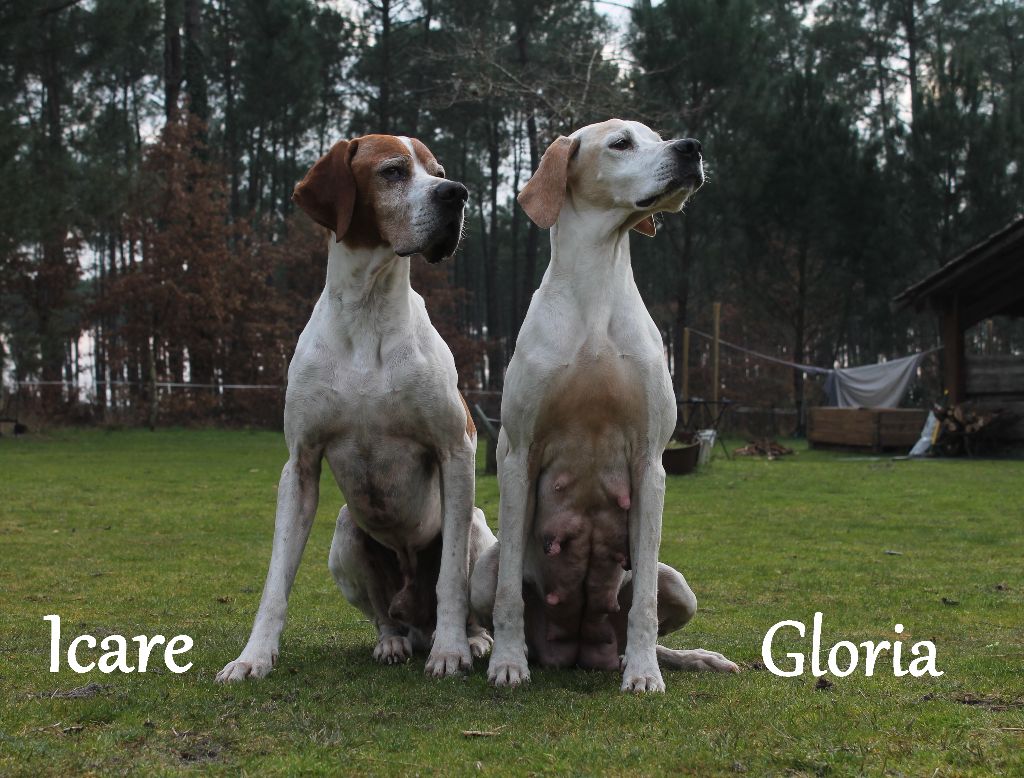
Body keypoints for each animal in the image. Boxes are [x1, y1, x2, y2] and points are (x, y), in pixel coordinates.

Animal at [218, 137, 497, 683]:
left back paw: (468, 640)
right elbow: (275, 582)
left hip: (477, 524)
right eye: (392, 171)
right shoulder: (300, 465)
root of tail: (416, 619)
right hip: (345, 535)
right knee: (384, 614)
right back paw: (391, 642)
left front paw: (451, 651)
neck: (368, 312)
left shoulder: (456, 451)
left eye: (438, 172)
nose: (456, 194)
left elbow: (451, 576)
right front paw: (252, 657)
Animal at [475, 118, 741, 687]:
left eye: (658, 136)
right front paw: (507, 662)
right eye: (621, 143)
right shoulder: (518, 456)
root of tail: (578, 650)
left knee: (651, 611)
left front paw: (643, 675)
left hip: (676, 582)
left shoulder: (649, 461)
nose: (691, 148)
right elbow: (508, 593)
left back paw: (679, 658)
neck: (595, 290)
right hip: (481, 570)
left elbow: (644, 606)